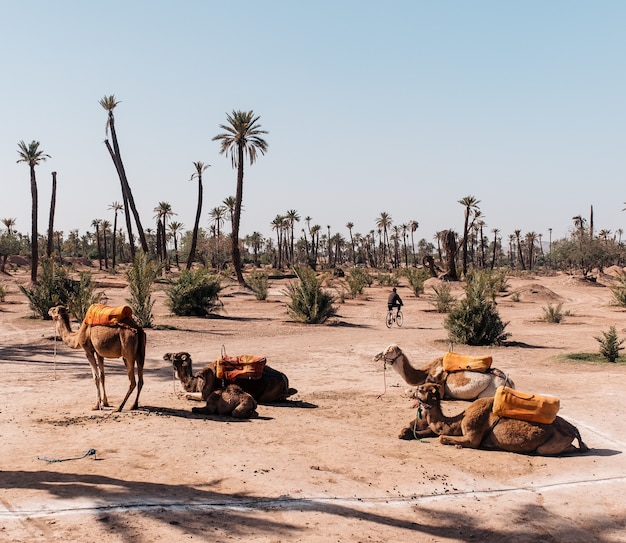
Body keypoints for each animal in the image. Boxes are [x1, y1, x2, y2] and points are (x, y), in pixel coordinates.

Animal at [163, 352, 294, 404]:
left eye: (176, 355)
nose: (165, 355)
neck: (195, 381)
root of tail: (284, 378)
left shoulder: (205, 395)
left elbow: (186, 395)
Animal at [370, 346, 512, 402]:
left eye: (388, 351)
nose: (376, 357)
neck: (424, 373)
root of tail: (509, 382)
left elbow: (410, 392)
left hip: (489, 392)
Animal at [414, 384, 584, 456]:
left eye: (421, 389)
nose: (412, 391)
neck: (458, 420)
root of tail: (574, 430)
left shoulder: (472, 436)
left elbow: (442, 438)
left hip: (554, 443)